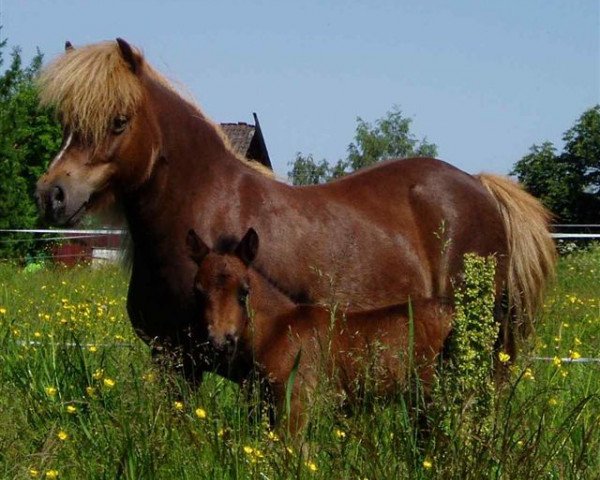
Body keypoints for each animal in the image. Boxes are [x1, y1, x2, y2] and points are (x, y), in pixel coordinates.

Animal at [35, 38, 556, 382]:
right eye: (65, 121)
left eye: (119, 121)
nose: (51, 194)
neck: (200, 208)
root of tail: (478, 186)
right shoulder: (172, 361)